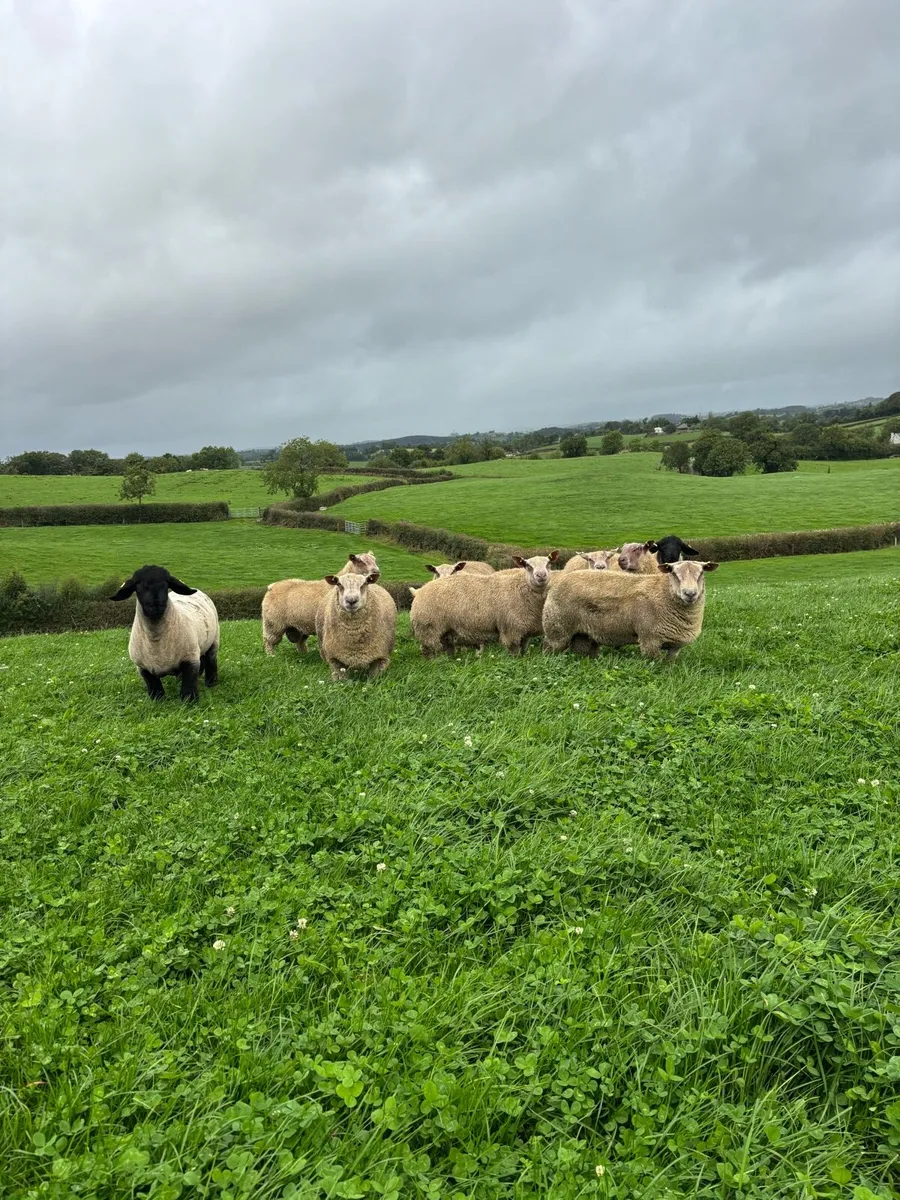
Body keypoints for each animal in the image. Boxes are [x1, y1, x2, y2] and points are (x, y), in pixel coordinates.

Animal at [111, 564, 219, 701]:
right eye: (138, 585)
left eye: (166, 584)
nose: (157, 605)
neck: (156, 639)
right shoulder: (143, 668)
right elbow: (155, 689)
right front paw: (158, 701)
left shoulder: (190, 659)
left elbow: (188, 687)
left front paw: (190, 701)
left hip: (214, 640)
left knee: (211, 660)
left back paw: (211, 683)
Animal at [410, 552, 558, 657]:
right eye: (528, 565)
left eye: (549, 563)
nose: (541, 575)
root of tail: (420, 591)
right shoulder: (511, 630)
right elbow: (514, 654)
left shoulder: (524, 632)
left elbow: (522, 652)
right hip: (428, 629)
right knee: (428, 652)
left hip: (446, 631)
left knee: (448, 649)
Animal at [542, 559, 719, 660]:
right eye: (674, 573)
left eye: (701, 573)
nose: (690, 593)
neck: (664, 592)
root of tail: (557, 581)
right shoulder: (649, 640)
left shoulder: (675, 648)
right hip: (557, 630)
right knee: (549, 650)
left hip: (583, 635)